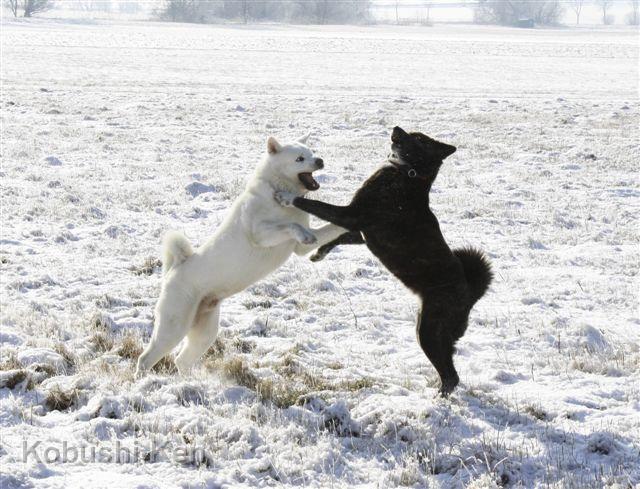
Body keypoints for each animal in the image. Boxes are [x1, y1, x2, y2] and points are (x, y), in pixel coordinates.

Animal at [135, 133, 344, 374]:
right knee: (146, 359)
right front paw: (302, 231)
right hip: (174, 326)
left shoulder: (301, 248)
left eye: (312, 152)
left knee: (182, 360)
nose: (320, 161)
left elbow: (330, 229)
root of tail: (174, 269)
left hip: (204, 330)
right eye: (300, 158)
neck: (277, 190)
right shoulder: (261, 235)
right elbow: (290, 226)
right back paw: (144, 380)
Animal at [274, 127, 490, 396]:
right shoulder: (362, 231)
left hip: (430, 330)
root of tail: (471, 293)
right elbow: (340, 238)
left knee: (451, 375)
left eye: (417, 138)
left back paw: (438, 397)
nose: (396, 128)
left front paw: (286, 196)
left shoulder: (351, 214)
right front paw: (319, 253)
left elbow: (312, 203)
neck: (408, 174)